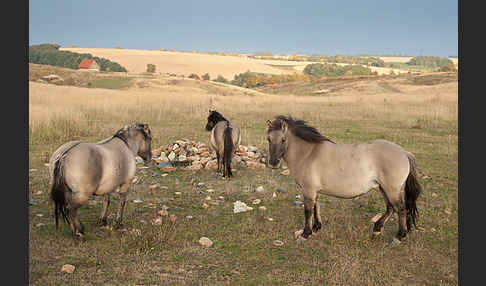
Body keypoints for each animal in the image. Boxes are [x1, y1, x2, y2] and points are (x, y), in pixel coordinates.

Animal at [266, 115, 422, 245]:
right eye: (268, 139)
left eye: (283, 139)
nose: (273, 163)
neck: (309, 154)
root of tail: (404, 153)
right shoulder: (314, 191)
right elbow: (316, 207)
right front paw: (316, 228)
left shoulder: (308, 190)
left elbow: (308, 211)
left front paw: (305, 234)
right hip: (383, 188)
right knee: (391, 207)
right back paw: (377, 229)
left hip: (391, 189)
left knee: (401, 209)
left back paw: (398, 237)